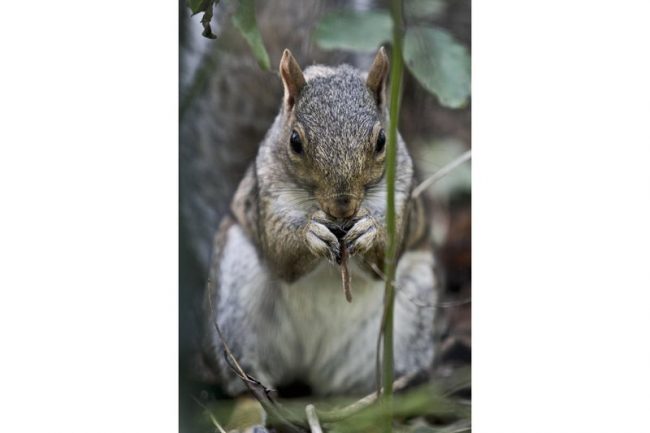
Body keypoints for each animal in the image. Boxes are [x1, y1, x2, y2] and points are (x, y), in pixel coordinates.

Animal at [202, 47, 438, 396]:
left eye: (382, 140)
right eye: (295, 141)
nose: (343, 206)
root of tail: (312, 370)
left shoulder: (401, 196)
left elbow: (387, 258)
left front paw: (370, 230)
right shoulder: (266, 198)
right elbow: (280, 255)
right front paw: (309, 233)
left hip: (412, 310)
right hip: (236, 298)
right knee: (249, 379)